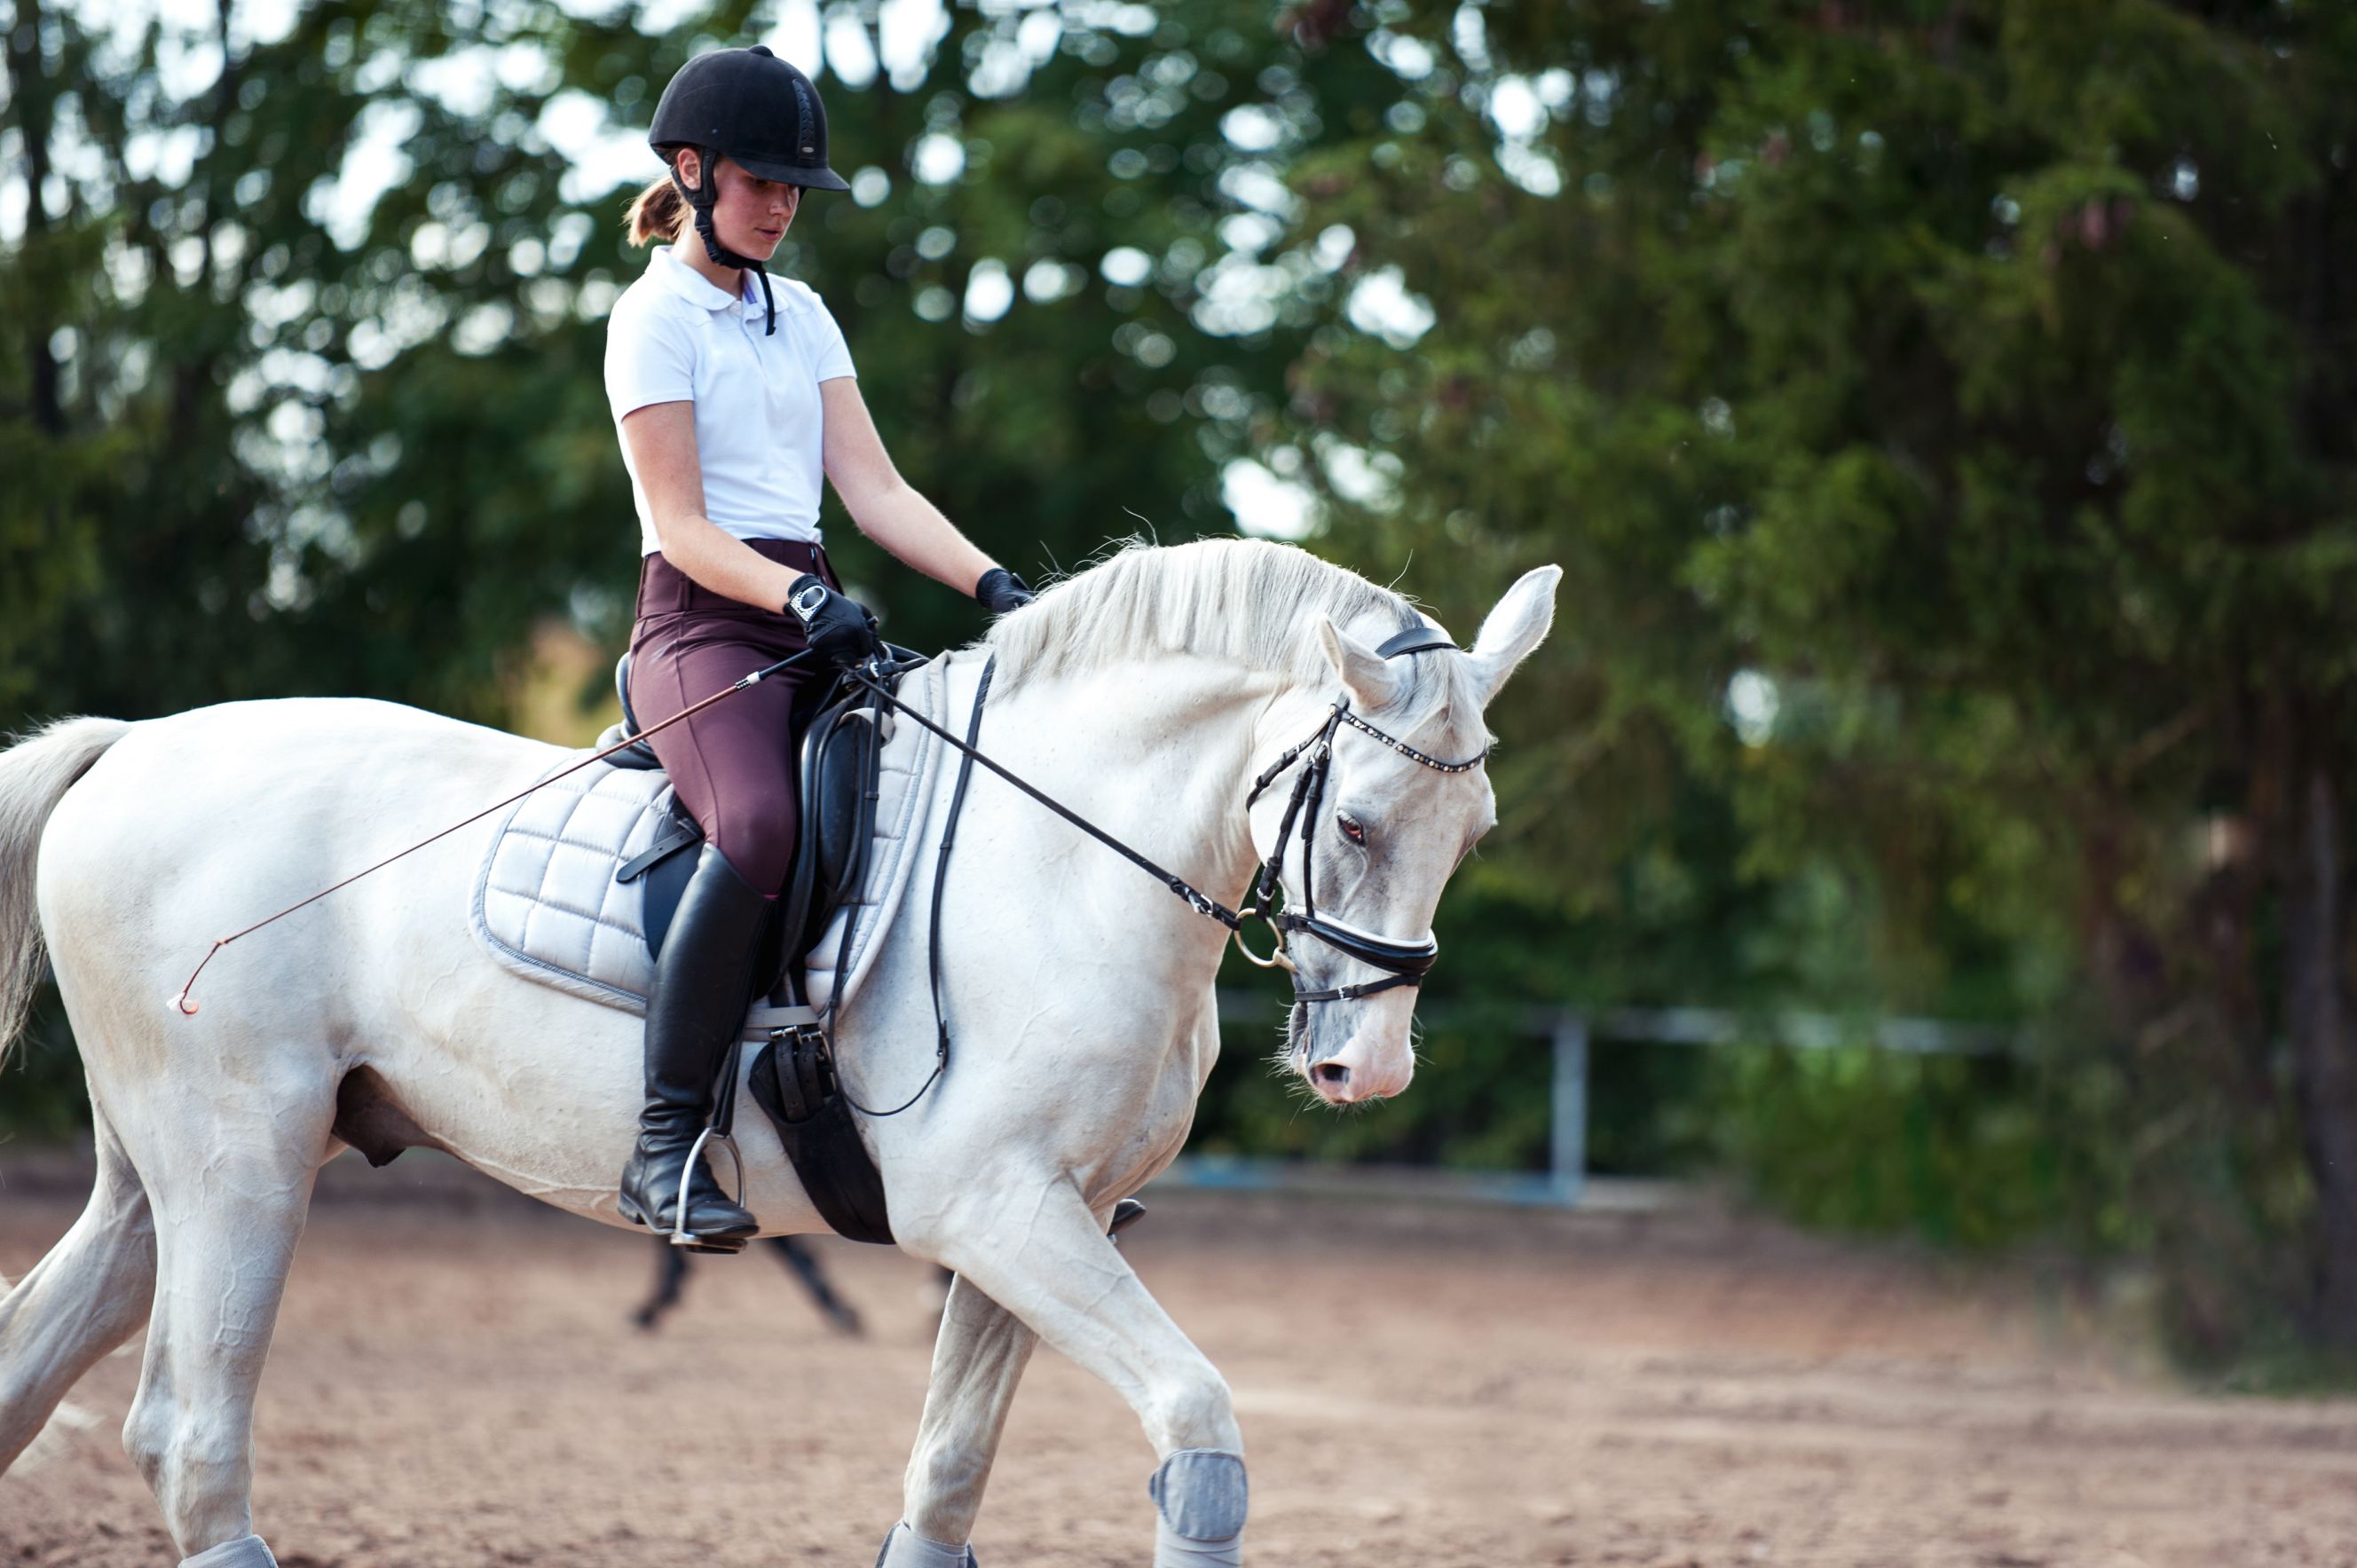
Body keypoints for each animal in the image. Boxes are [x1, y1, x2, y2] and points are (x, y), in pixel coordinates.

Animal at [4, 542, 1565, 1565]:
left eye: (1478, 832)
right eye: (1355, 820)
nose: (1367, 1068)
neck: (1063, 859)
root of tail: (131, 746)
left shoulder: (1050, 1220)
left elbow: (947, 1476)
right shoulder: (999, 1210)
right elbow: (1198, 1423)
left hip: (163, 1181)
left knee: (41, 1361)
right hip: (242, 1165)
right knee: (189, 1437)